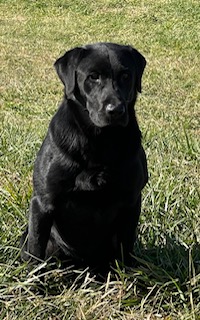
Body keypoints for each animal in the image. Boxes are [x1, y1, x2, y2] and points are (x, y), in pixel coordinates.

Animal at [21, 42, 148, 276]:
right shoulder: (42, 203)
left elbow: (126, 249)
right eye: (93, 76)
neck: (100, 141)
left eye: (126, 75)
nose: (116, 110)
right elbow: (35, 250)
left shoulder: (131, 202)